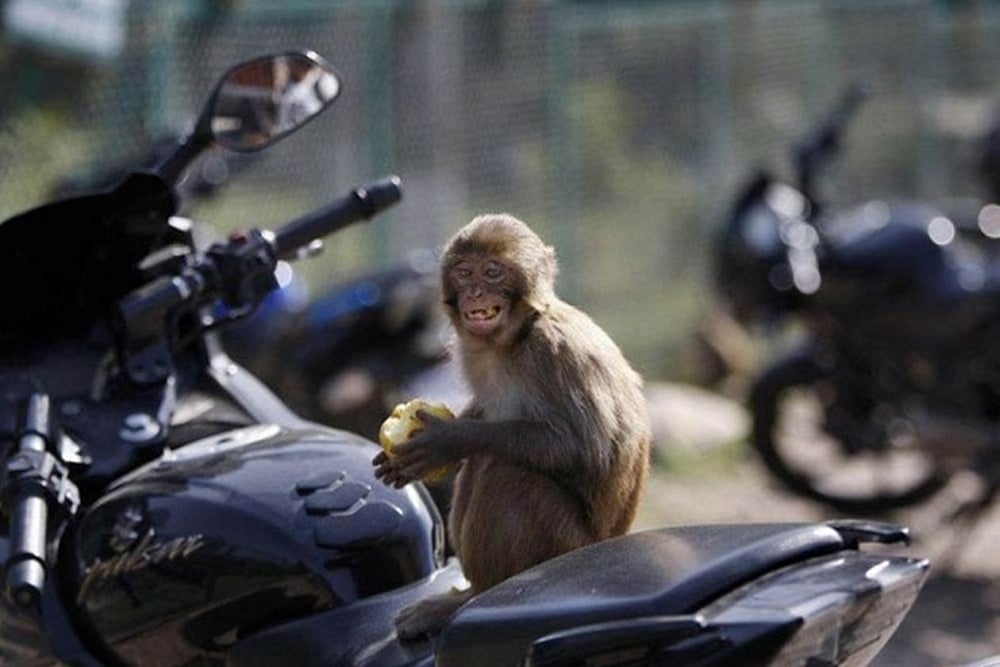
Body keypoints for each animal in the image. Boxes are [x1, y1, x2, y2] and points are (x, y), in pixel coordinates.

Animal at [372, 213, 651, 640]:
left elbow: (589, 449)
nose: (473, 293)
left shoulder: (556, 352)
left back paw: (470, 600)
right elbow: (486, 410)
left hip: (563, 545)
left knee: (504, 472)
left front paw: (447, 440)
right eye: (464, 272)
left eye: (492, 272)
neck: (514, 339)